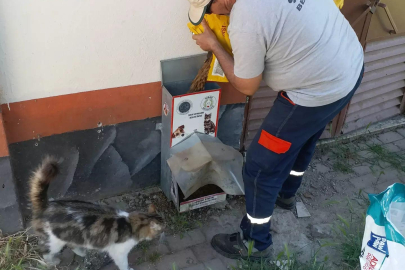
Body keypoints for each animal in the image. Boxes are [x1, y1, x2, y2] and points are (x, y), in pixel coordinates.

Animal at [29, 156, 164, 270]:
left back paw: (82, 252)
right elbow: (123, 265)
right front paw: (128, 269)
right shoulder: (119, 253)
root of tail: (46, 205)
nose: (164, 233)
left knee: (72, 244)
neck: (131, 223)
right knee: (46, 252)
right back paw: (53, 262)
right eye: (163, 229)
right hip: (54, 241)